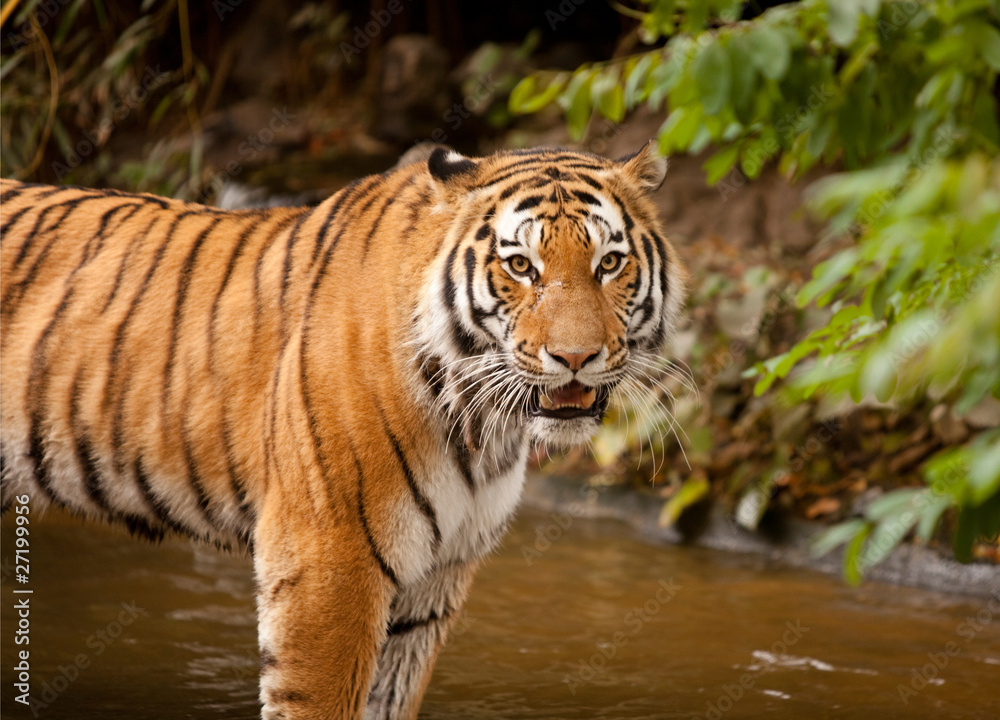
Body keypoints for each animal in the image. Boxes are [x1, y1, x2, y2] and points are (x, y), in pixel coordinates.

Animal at [0, 142, 686, 720]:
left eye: (609, 263)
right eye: (521, 266)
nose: (575, 357)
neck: (480, 425)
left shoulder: (434, 580)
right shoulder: (326, 560)